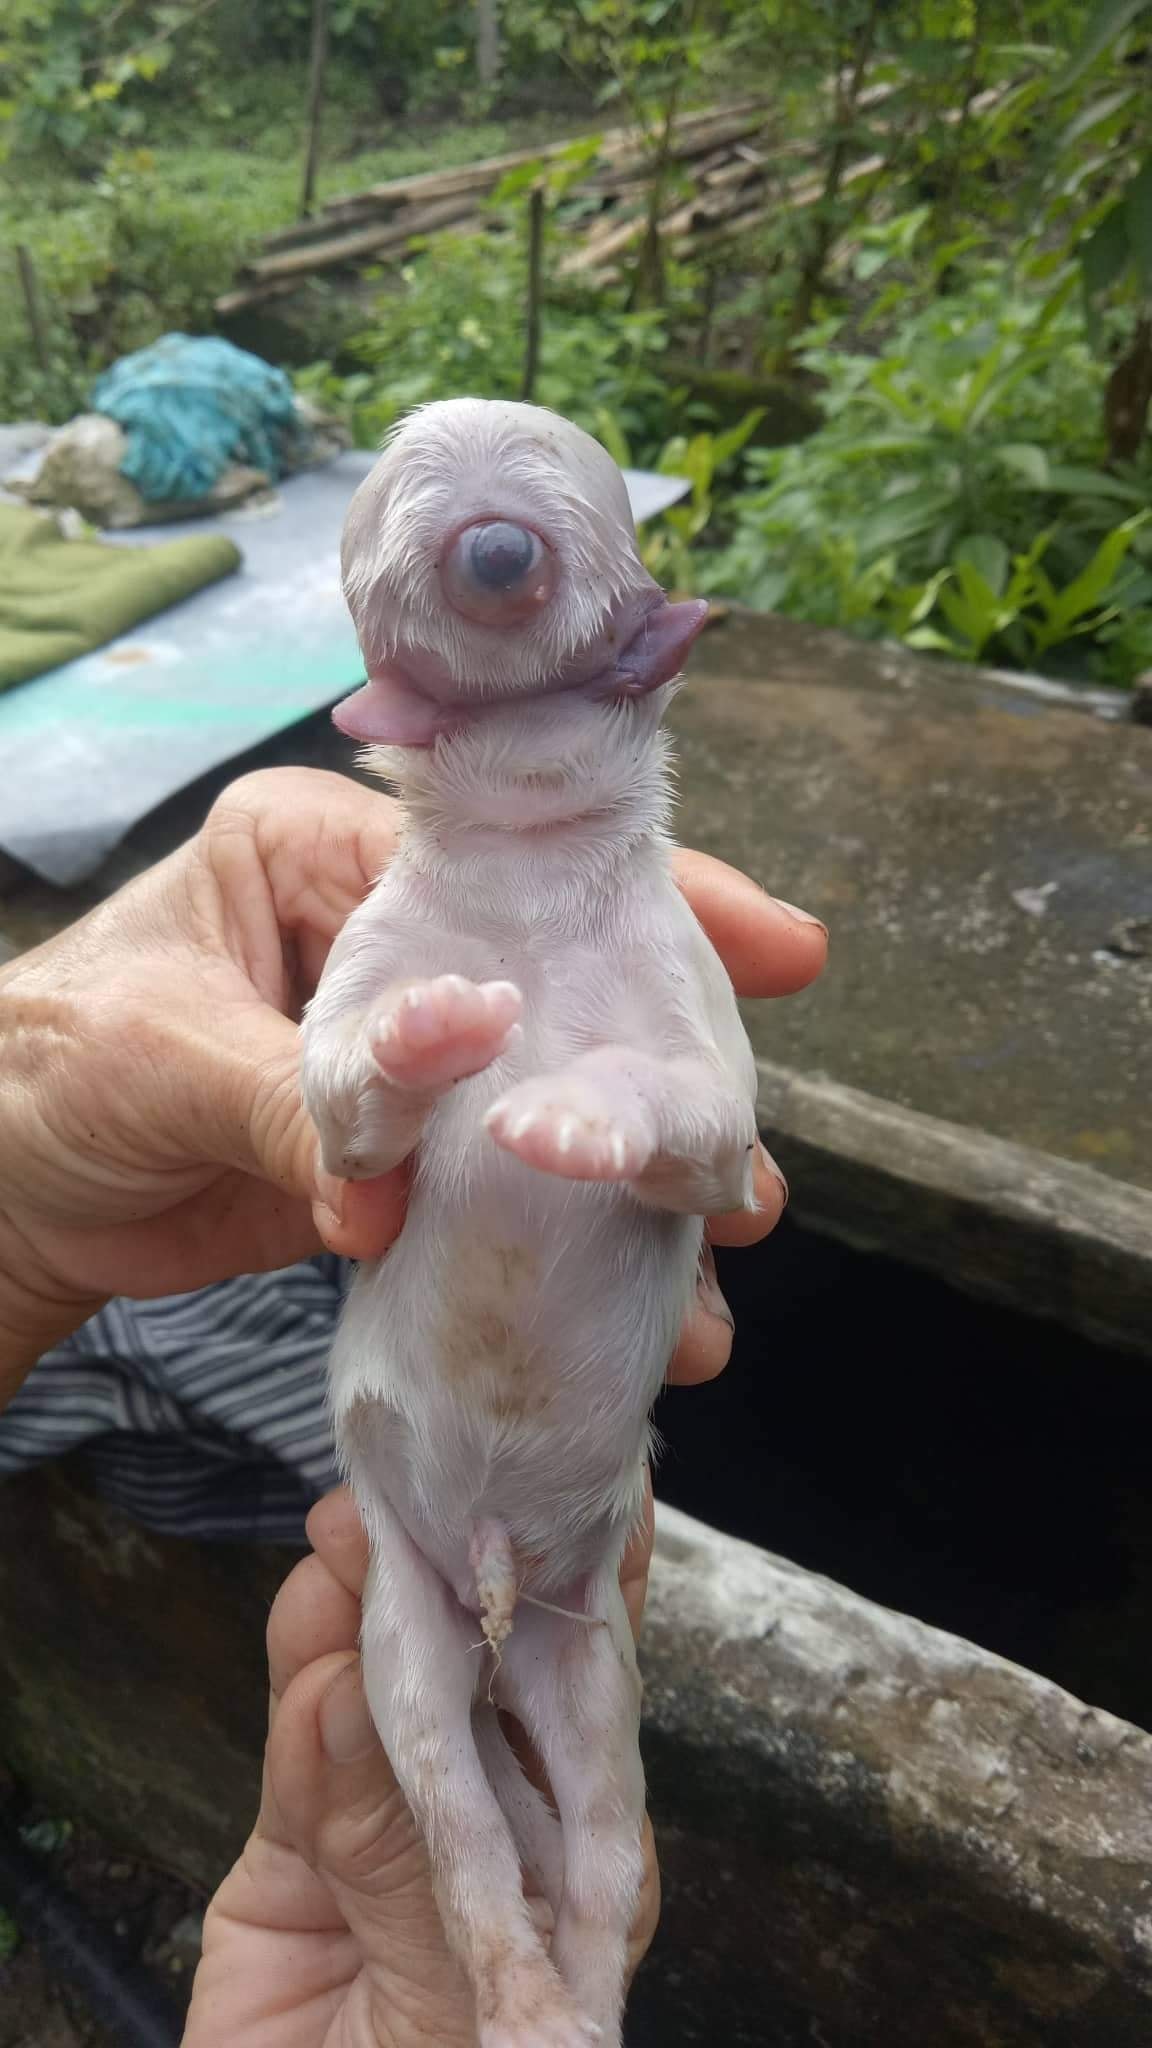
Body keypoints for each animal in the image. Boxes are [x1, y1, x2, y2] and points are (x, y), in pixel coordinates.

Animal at [301, 399, 758, 2048]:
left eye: (559, 479)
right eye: (403, 489)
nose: (491, 543)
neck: (529, 872)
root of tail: (504, 1576)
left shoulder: (707, 1048)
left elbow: (695, 1118)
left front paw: (566, 1113)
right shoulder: (358, 979)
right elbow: (343, 1093)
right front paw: (439, 1031)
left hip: (593, 1662)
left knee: (612, 1859)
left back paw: (576, 1997)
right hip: (402, 1636)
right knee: (464, 1830)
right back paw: (518, 1993)